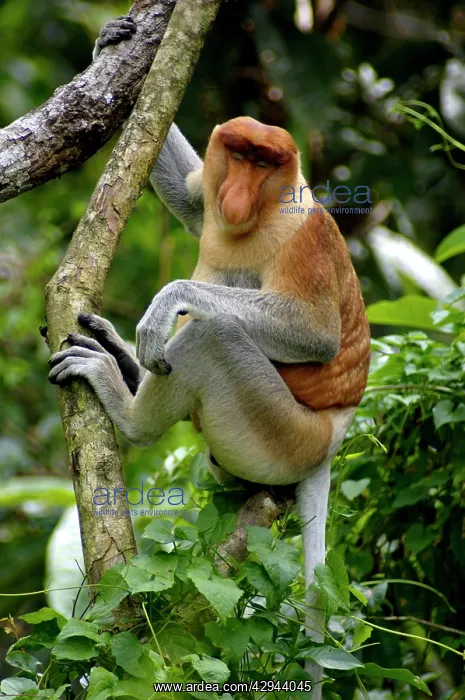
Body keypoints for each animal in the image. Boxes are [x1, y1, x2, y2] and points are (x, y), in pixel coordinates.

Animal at [50, 23, 371, 699]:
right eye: (241, 153)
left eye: (267, 163)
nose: (241, 192)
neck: (258, 215)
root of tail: (333, 435)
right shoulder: (213, 199)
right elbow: (194, 200)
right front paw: (114, 41)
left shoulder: (298, 233)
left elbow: (314, 334)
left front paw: (168, 302)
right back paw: (123, 362)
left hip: (280, 433)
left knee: (212, 339)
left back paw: (126, 403)